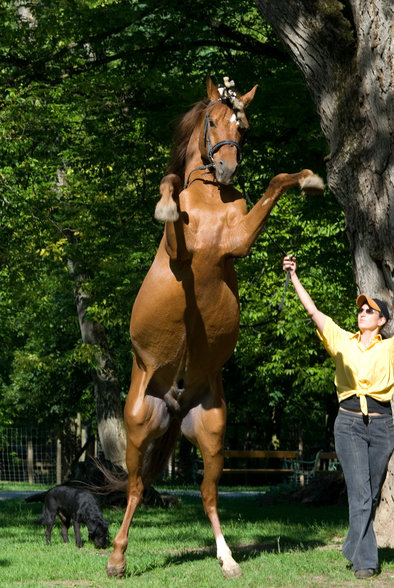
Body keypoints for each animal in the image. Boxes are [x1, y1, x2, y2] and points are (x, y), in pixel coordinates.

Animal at [105, 77, 324, 580]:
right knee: (134, 489)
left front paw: (310, 178)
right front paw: (166, 207)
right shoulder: (180, 253)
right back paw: (117, 558)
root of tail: (175, 401)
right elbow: (168, 185)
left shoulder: (237, 241)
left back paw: (228, 559)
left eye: (243, 125)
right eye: (212, 122)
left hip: (213, 434)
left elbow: (276, 182)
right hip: (138, 427)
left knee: (206, 494)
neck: (209, 202)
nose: (225, 168)